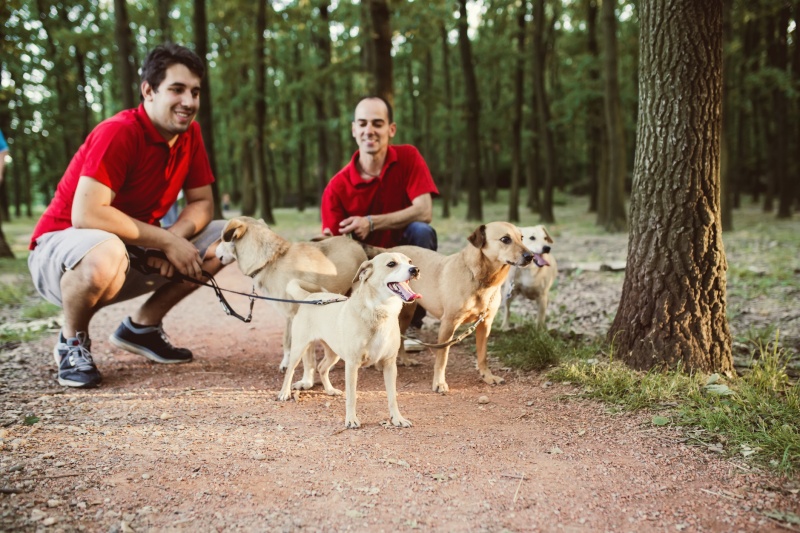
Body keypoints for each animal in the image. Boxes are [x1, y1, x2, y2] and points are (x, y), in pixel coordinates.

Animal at [214, 214, 368, 368]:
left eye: (221, 239)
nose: (214, 253)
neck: (272, 259)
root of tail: (356, 243)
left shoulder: (292, 314)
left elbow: (289, 341)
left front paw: (288, 364)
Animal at [278, 251, 422, 430]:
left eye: (410, 261)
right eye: (391, 264)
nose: (415, 269)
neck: (379, 312)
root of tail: (310, 296)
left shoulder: (389, 364)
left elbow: (392, 397)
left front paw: (397, 419)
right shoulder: (352, 364)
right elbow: (352, 396)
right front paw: (351, 420)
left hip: (333, 353)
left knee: (321, 367)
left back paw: (330, 390)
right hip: (299, 347)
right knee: (290, 371)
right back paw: (284, 393)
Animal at [366, 219, 548, 390]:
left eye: (522, 238)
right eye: (505, 239)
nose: (530, 256)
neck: (480, 280)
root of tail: (386, 251)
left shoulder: (485, 324)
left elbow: (483, 355)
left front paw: (487, 376)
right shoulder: (448, 325)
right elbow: (442, 359)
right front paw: (439, 383)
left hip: (407, 312)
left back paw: (404, 359)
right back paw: (379, 364)